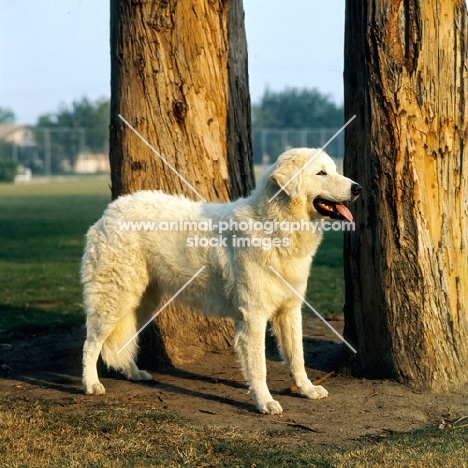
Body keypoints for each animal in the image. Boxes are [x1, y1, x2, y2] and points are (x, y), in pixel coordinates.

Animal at [81, 148, 362, 414]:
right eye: (321, 173)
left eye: (333, 170)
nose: (358, 189)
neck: (274, 227)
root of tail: (110, 211)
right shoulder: (253, 316)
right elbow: (259, 366)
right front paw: (265, 402)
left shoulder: (290, 310)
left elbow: (296, 356)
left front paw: (306, 389)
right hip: (115, 299)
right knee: (91, 344)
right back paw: (91, 384)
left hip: (141, 303)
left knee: (123, 339)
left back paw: (134, 373)